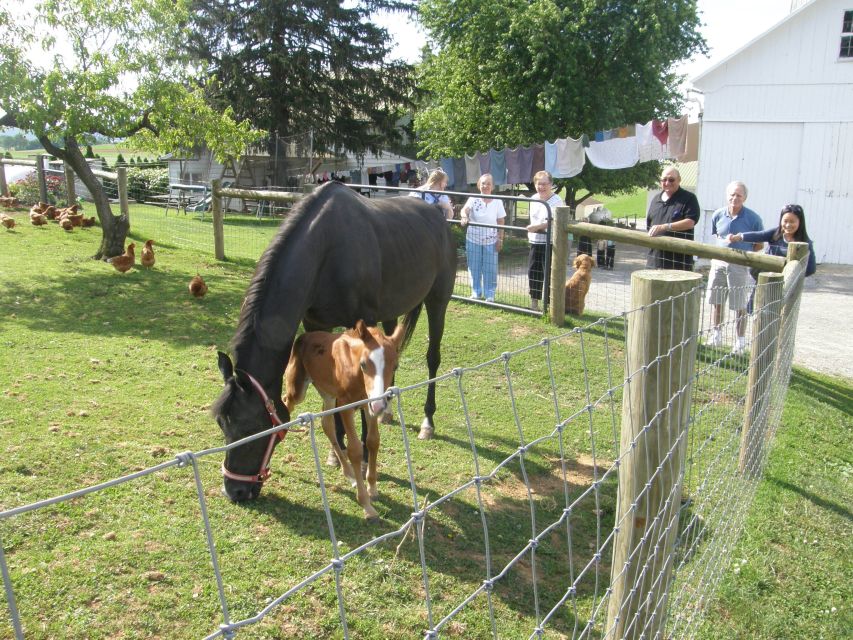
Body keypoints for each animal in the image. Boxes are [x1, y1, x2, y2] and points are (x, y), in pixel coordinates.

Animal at [211, 179, 456, 500]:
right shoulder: (317, 323)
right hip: (392, 312)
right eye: (221, 423)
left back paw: (428, 422)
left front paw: (362, 459)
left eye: (251, 426)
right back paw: (387, 411)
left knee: (432, 359)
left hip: (438, 300)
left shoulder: (364, 321)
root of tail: (437, 215)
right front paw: (337, 453)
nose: (235, 491)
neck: (326, 251)